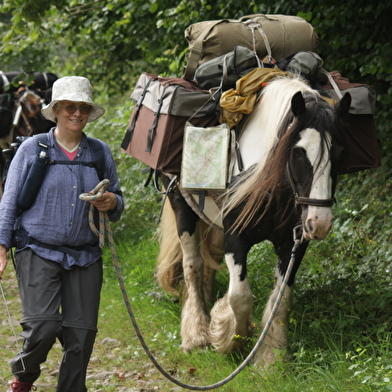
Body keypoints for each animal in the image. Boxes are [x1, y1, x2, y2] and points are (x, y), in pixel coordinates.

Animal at [155, 76, 350, 368]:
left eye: (339, 152)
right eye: (298, 152)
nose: (320, 223)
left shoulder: (293, 242)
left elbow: (282, 297)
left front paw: (271, 356)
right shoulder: (235, 238)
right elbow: (240, 297)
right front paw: (231, 339)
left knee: (208, 260)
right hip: (181, 206)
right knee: (193, 264)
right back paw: (196, 332)